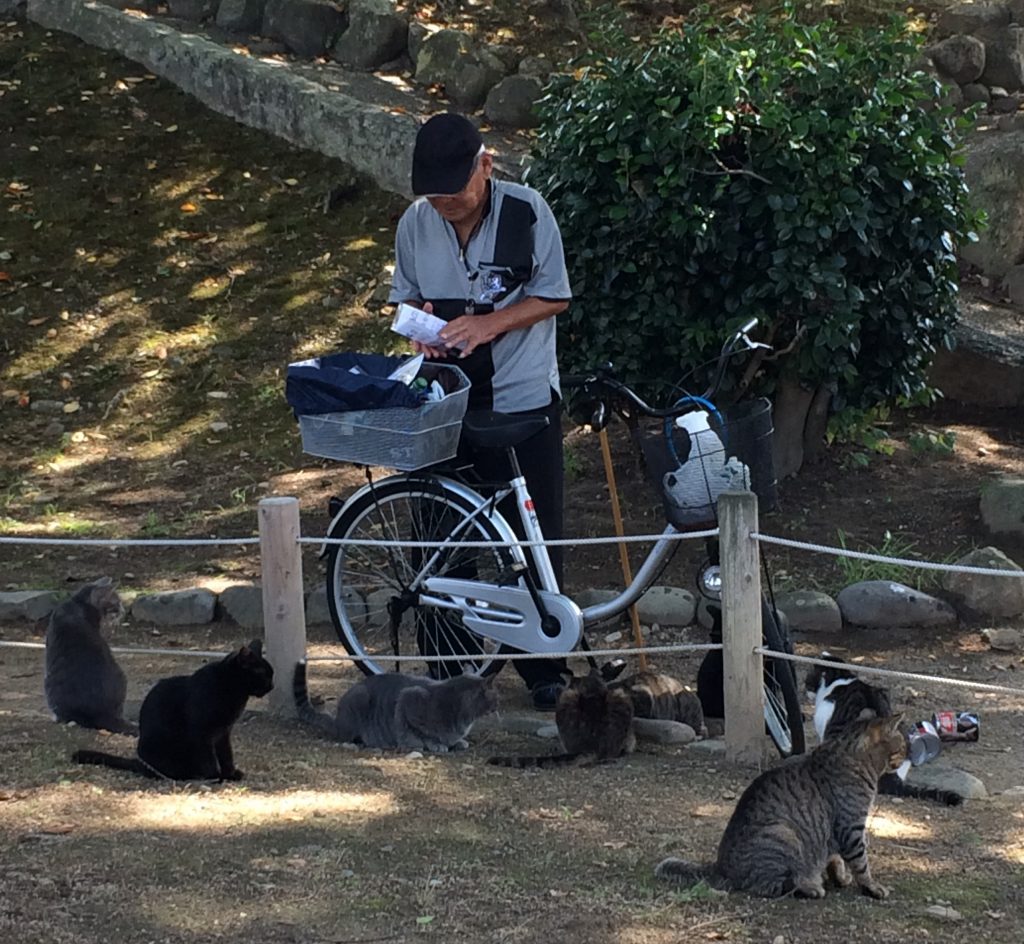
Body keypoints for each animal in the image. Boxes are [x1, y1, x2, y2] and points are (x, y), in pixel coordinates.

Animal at [73, 638, 272, 778]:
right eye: (263, 673)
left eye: (272, 674)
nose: (272, 685)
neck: (233, 691)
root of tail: (140, 762)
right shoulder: (202, 732)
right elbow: (208, 757)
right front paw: (215, 776)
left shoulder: (223, 733)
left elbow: (226, 755)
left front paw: (230, 774)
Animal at [290, 655, 497, 749]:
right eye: (496, 698)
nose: (498, 708)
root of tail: (337, 719)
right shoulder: (408, 699)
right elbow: (416, 732)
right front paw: (434, 744)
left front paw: (458, 742)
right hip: (360, 697)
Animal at [655, 712, 905, 896]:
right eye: (902, 745)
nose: (906, 755)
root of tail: (720, 866)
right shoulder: (851, 826)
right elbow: (861, 863)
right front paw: (872, 887)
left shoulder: (835, 833)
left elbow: (835, 860)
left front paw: (841, 878)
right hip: (784, 833)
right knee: (774, 886)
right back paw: (810, 886)